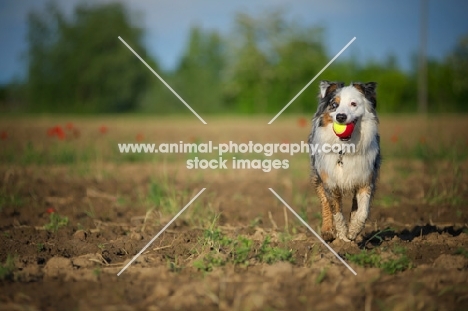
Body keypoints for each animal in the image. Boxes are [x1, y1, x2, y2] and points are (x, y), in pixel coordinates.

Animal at [308, 80, 380, 241]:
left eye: (353, 104)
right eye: (334, 105)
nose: (341, 117)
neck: (345, 148)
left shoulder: (366, 180)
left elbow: (362, 211)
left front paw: (353, 231)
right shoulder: (329, 182)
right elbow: (336, 212)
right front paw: (342, 238)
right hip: (317, 174)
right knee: (324, 201)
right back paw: (327, 232)